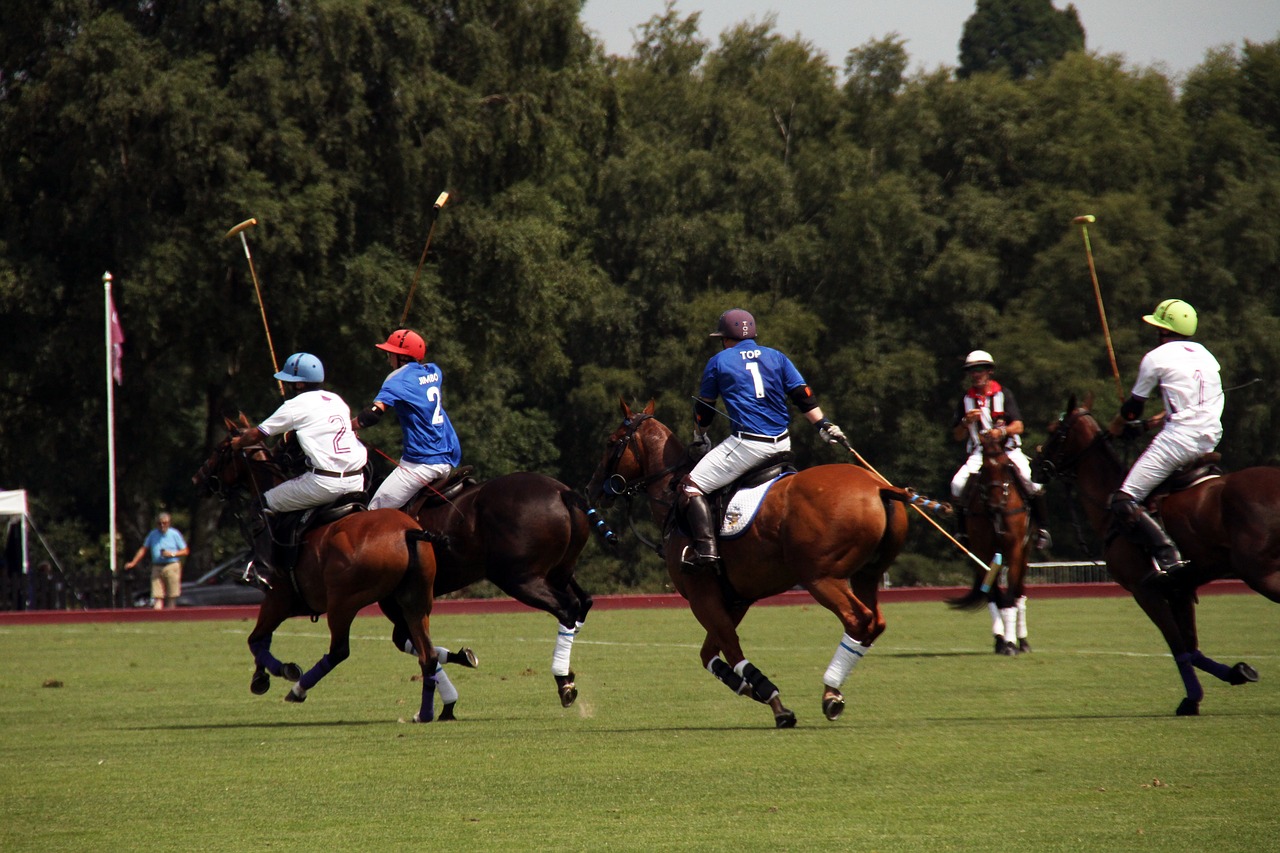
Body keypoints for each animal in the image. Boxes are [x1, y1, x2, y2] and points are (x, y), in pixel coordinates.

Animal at [192, 414, 448, 722]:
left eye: (221, 449)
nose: (198, 479)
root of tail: (408, 533)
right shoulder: (285, 602)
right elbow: (261, 639)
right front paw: (262, 676)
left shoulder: (278, 597)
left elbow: (255, 639)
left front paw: (276, 673)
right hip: (414, 600)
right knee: (427, 654)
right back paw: (425, 712)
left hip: (343, 602)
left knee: (339, 651)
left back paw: (298, 689)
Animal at [404, 471, 593, 701]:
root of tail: (561, 492)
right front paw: (464, 657)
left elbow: (420, 648)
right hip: (559, 571)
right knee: (583, 602)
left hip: (517, 578)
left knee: (568, 607)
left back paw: (563, 680)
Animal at [586, 399, 931, 722]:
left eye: (611, 442)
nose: (592, 489)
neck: (672, 498)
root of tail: (879, 486)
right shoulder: (735, 599)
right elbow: (709, 653)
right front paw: (751, 689)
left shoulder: (701, 596)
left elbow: (730, 648)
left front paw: (773, 700)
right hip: (866, 574)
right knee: (875, 621)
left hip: (821, 577)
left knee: (858, 619)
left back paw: (831, 692)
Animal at [957, 427, 1034, 653]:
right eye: (984, 467)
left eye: (1006, 465)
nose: (995, 504)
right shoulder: (983, 551)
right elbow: (993, 596)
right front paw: (1002, 641)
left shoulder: (1014, 548)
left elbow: (1010, 596)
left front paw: (1010, 643)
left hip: (1025, 552)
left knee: (1019, 593)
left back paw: (1023, 641)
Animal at [1039, 394, 1269, 712]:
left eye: (1055, 431)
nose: (1036, 463)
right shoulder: (1180, 590)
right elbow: (1190, 645)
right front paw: (1238, 672)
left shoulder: (1145, 589)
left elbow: (1177, 645)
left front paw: (1192, 699)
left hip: (1259, 571)